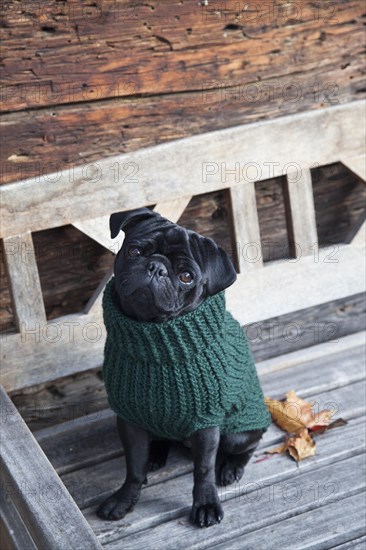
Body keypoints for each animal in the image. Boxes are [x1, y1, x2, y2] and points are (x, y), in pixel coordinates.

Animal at [96, 209, 270, 528]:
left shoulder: (206, 426)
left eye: (186, 277)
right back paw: (156, 453)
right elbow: (134, 467)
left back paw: (231, 468)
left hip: (237, 433)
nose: (155, 267)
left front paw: (206, 504)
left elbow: (203, 471)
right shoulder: (129, 419)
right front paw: (124, 499)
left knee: (249, 444)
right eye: (134, 251)